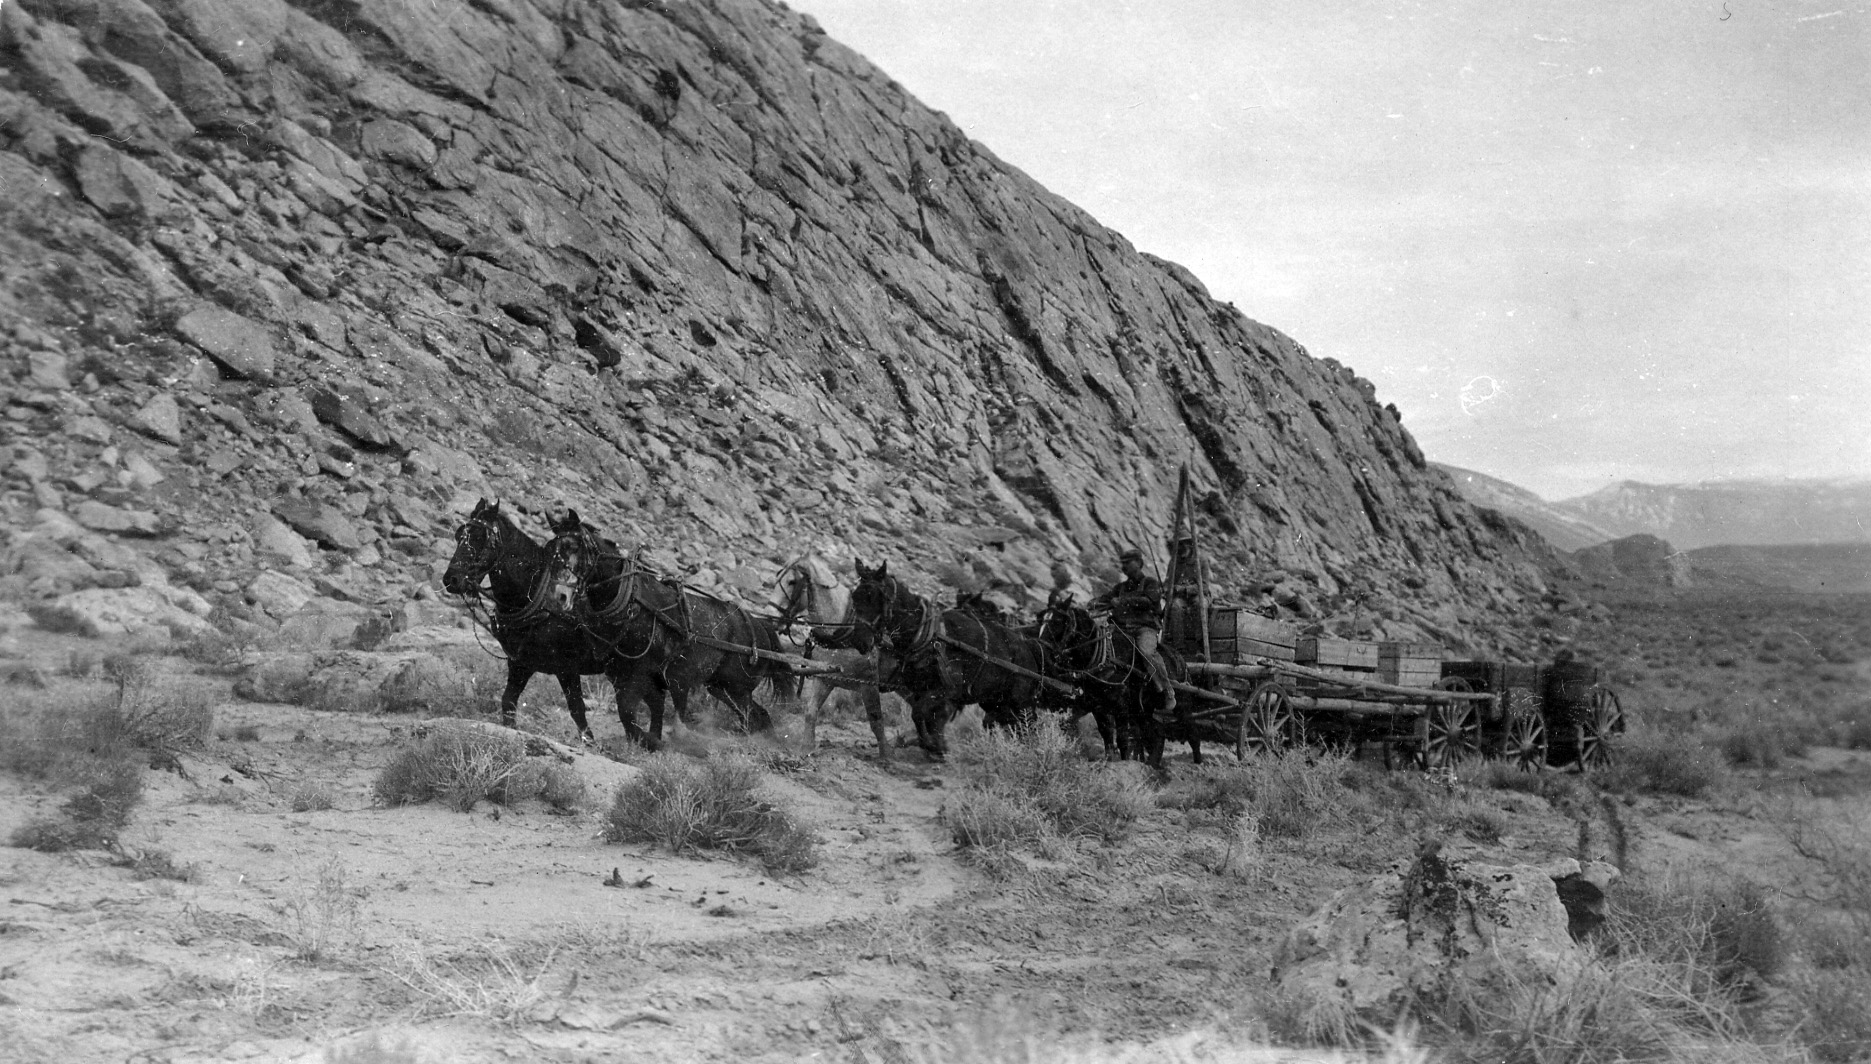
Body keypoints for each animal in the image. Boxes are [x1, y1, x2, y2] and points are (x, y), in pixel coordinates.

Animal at [439, 497, 651, 736]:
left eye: (479, 537)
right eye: (459, 535)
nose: (451, 579)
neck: (537, 600)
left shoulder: (567, 668)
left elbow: (578, 712)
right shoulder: (520, 664)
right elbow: (508, 702)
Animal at [546, 512, 800, 747]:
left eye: (574, 546)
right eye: (550, 549)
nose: (559, 595)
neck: (631, 602)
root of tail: (760, 626)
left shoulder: (640, 674)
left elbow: (629, 713)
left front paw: (655, 743)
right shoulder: (622, 674)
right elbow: (640, 713)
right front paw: (650, 741)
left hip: (736, 689)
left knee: (756, 717)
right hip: (721, 688)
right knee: (756, 718)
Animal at [849, 560, 1055, 759]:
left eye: (874, 597)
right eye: (855, 596)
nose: (859, 639)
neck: (929, 636)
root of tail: (1029, 648)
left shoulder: (946, 692)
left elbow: (920, 713)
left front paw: (932, 745)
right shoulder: (921, 690)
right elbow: (924, 717)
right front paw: (933, 745)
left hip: (1021, 704)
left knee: (1029, 729)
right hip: (996, 703)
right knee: (1005, 725)